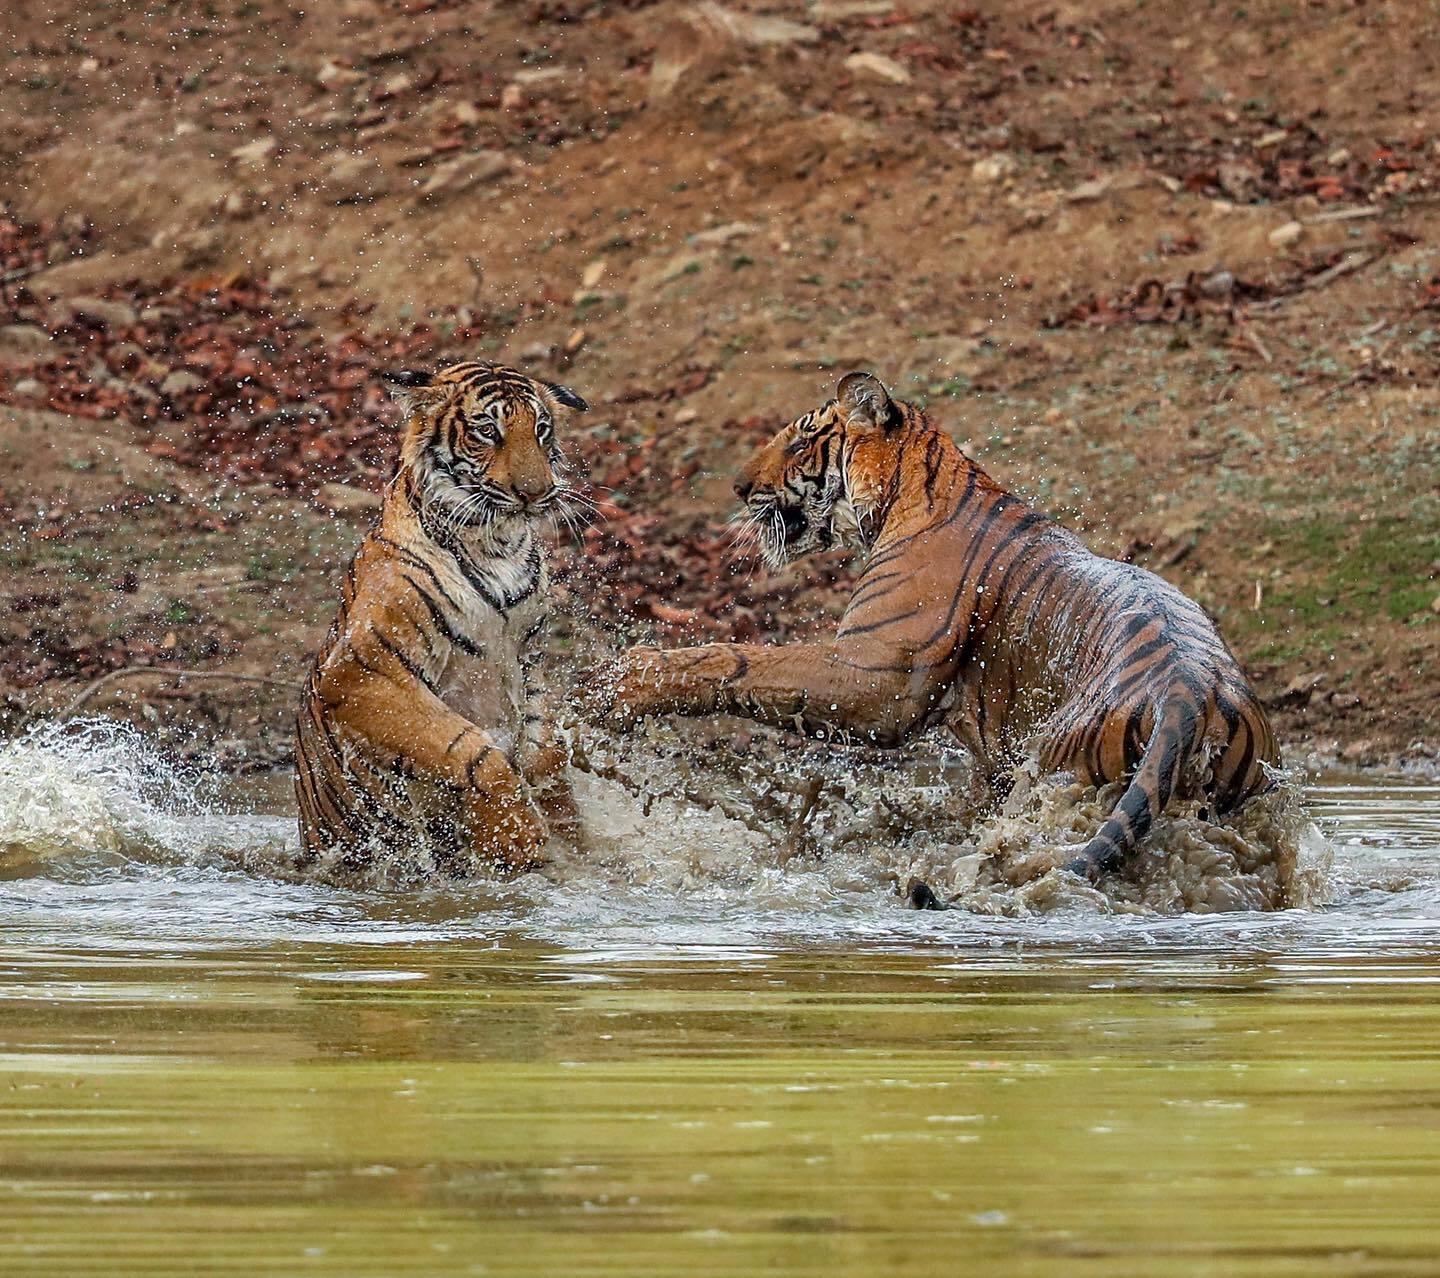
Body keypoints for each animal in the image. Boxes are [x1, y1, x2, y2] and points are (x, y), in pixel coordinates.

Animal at [295, 359, 593, 880]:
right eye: (488, 431)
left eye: (540, 429)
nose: (537, 493)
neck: (499, 544)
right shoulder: (362, 673)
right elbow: (468, 748)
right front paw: (518, 837)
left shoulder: (529, 658)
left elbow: (544, 748)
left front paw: (562, 826)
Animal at [601, 368, 1278, 886]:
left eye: (799, 444)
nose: (739, 487)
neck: (910, 490)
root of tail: (1187, 693)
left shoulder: (873, 677)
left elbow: (745, 660)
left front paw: (623, 682)